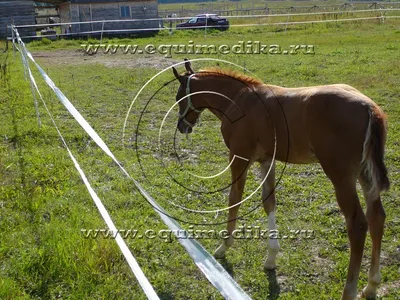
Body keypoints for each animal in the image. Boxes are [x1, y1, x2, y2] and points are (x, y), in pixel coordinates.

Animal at [171, 59, 388, 298]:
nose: (182, 126)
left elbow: (234, 198)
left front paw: (223, 246)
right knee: (377, 216)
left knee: (358, 224)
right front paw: (271, 258)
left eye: (179, 96)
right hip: (365, 173)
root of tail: (369, 108)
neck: (239, 99)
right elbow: (269, 201)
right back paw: (371, 285)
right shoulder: (266, 160)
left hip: (340, 175)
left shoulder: (239, 157)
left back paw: (349, 291)